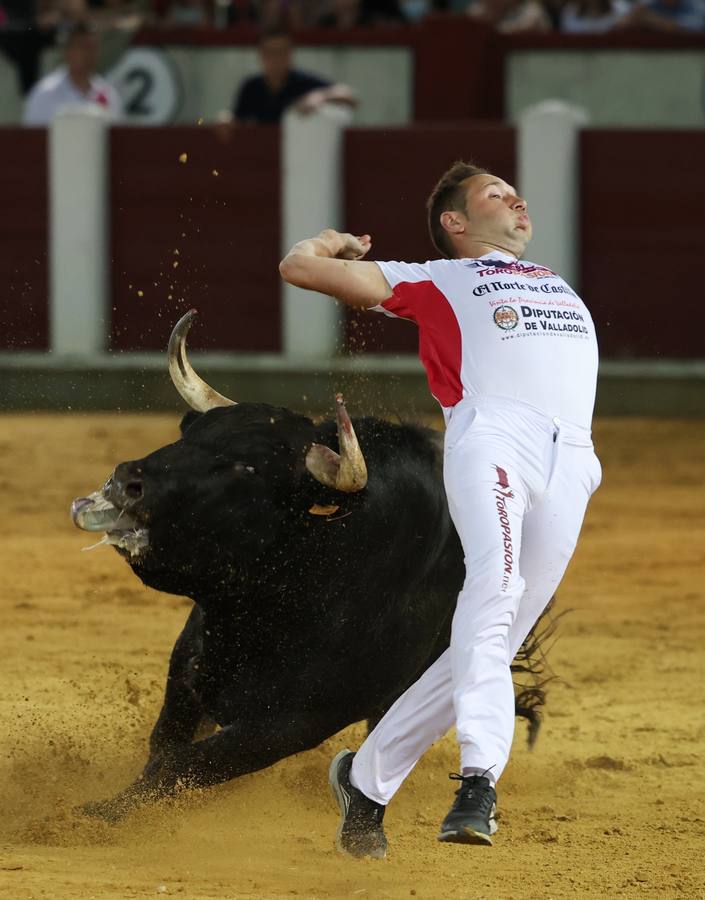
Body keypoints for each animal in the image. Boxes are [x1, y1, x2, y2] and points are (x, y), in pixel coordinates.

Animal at [71, 312, 552, 824]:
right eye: (189, 434)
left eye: (248, 469)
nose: (126, 480)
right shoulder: (191, 662)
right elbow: (165, 744)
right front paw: (104, 809)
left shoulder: (297, 722)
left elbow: (187, 763)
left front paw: (104, 817)